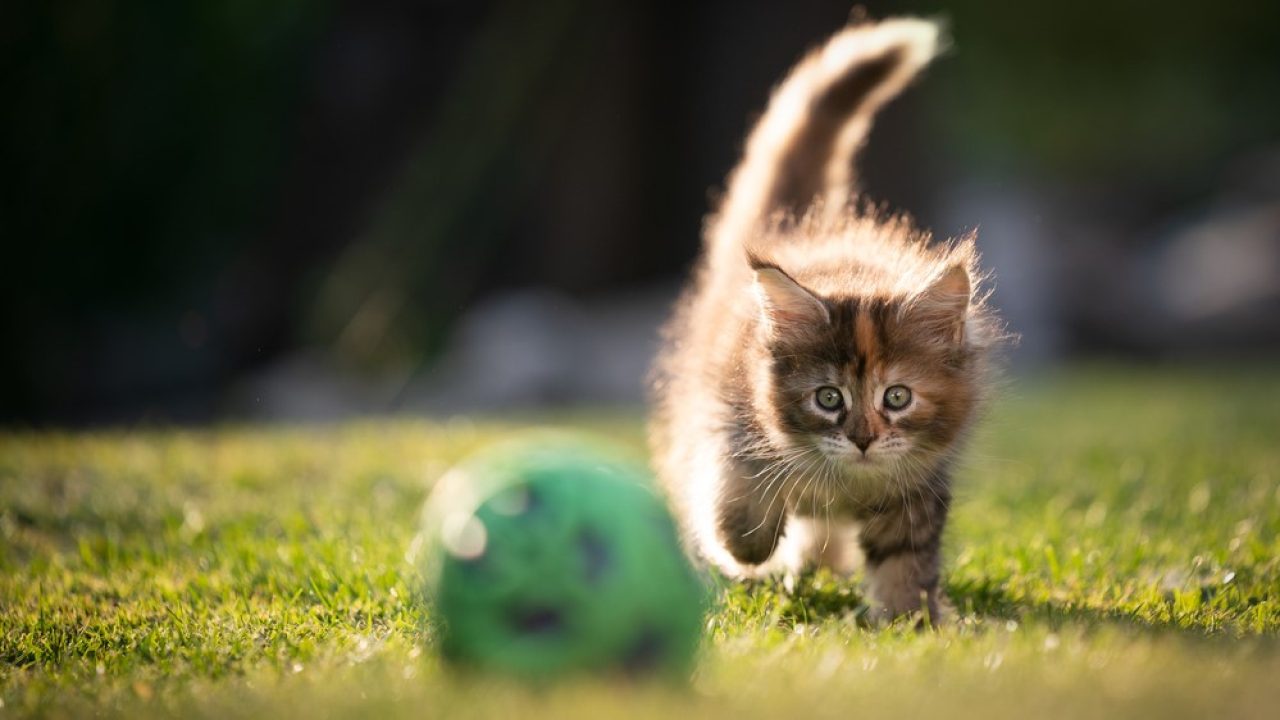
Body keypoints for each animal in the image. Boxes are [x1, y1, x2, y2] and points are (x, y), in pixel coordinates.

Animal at [655, 18, 1003, 622]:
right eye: (828, 398)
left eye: (897, 397)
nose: (863, 440)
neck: (846, 482)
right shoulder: (728, 416)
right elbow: (738, 499)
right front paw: (746, 547)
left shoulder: (917, 488)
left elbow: (904, 558)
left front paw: (912, 619)